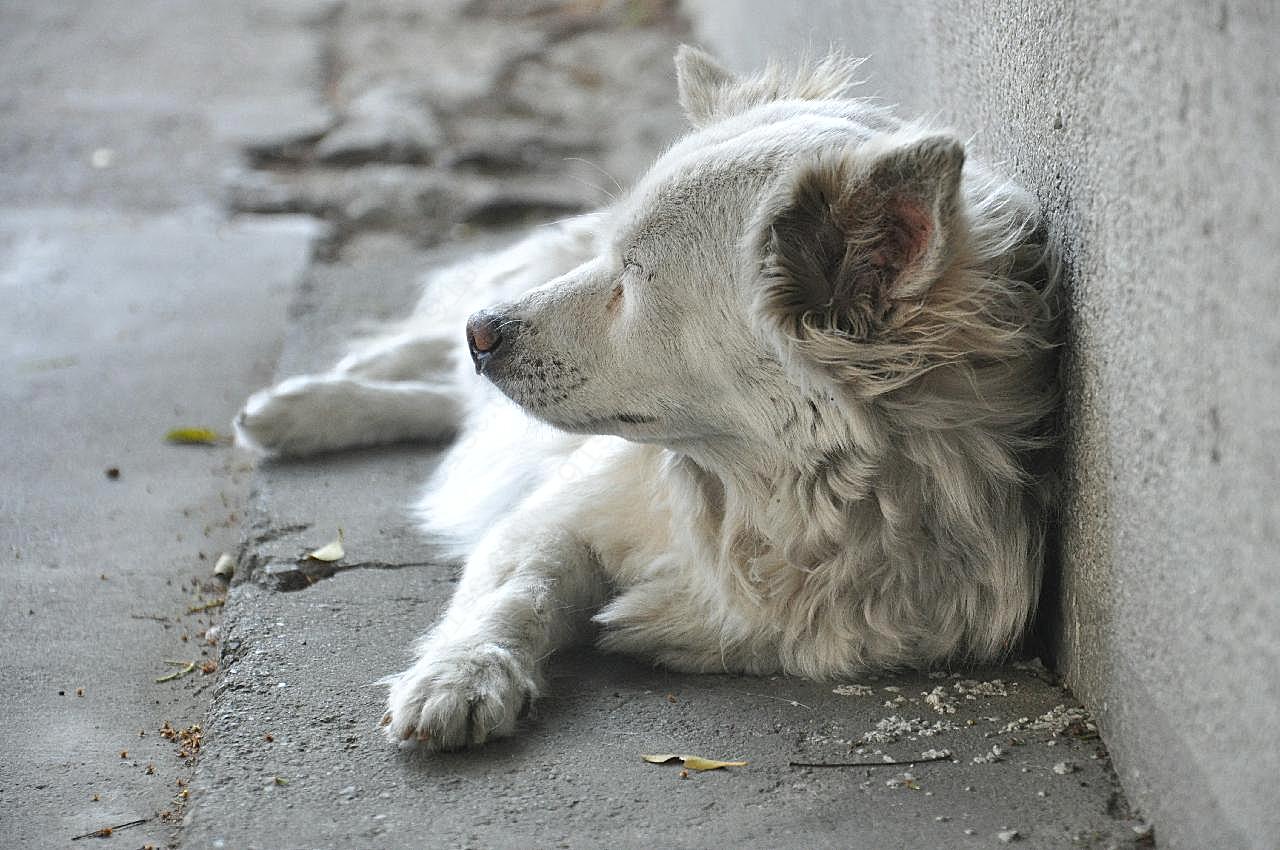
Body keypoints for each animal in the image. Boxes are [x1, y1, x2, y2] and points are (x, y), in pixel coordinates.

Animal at [232, 48, 1059, 752]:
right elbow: (516, 594)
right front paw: (461, 674)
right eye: (616, 258)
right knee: (438, 368)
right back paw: (310, 400)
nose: (482, 333)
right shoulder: (556, 515)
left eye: (633, 276)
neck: (776, 501)